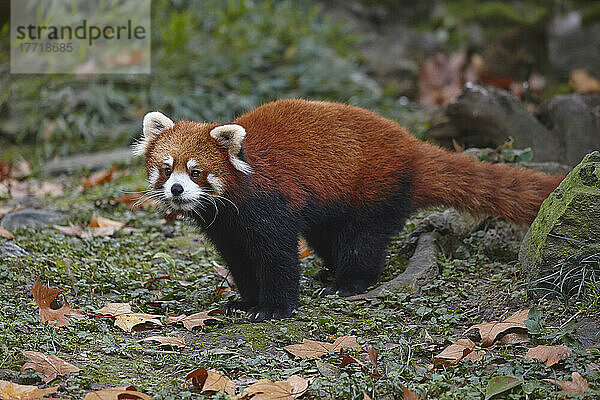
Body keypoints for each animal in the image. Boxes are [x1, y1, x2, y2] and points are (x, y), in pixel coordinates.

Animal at [134, 99, 564, 322]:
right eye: (167, 168)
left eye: (196, 172)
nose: (176, 189)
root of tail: (412, 147)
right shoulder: (227, 228)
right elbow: (241, 262)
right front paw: (246, 300)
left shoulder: (269, 207)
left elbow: (278, 258)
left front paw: (272, 308)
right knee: (327, 237)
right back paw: (330, 271)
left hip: (371, 190)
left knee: (364, 241)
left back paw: (349, 281)